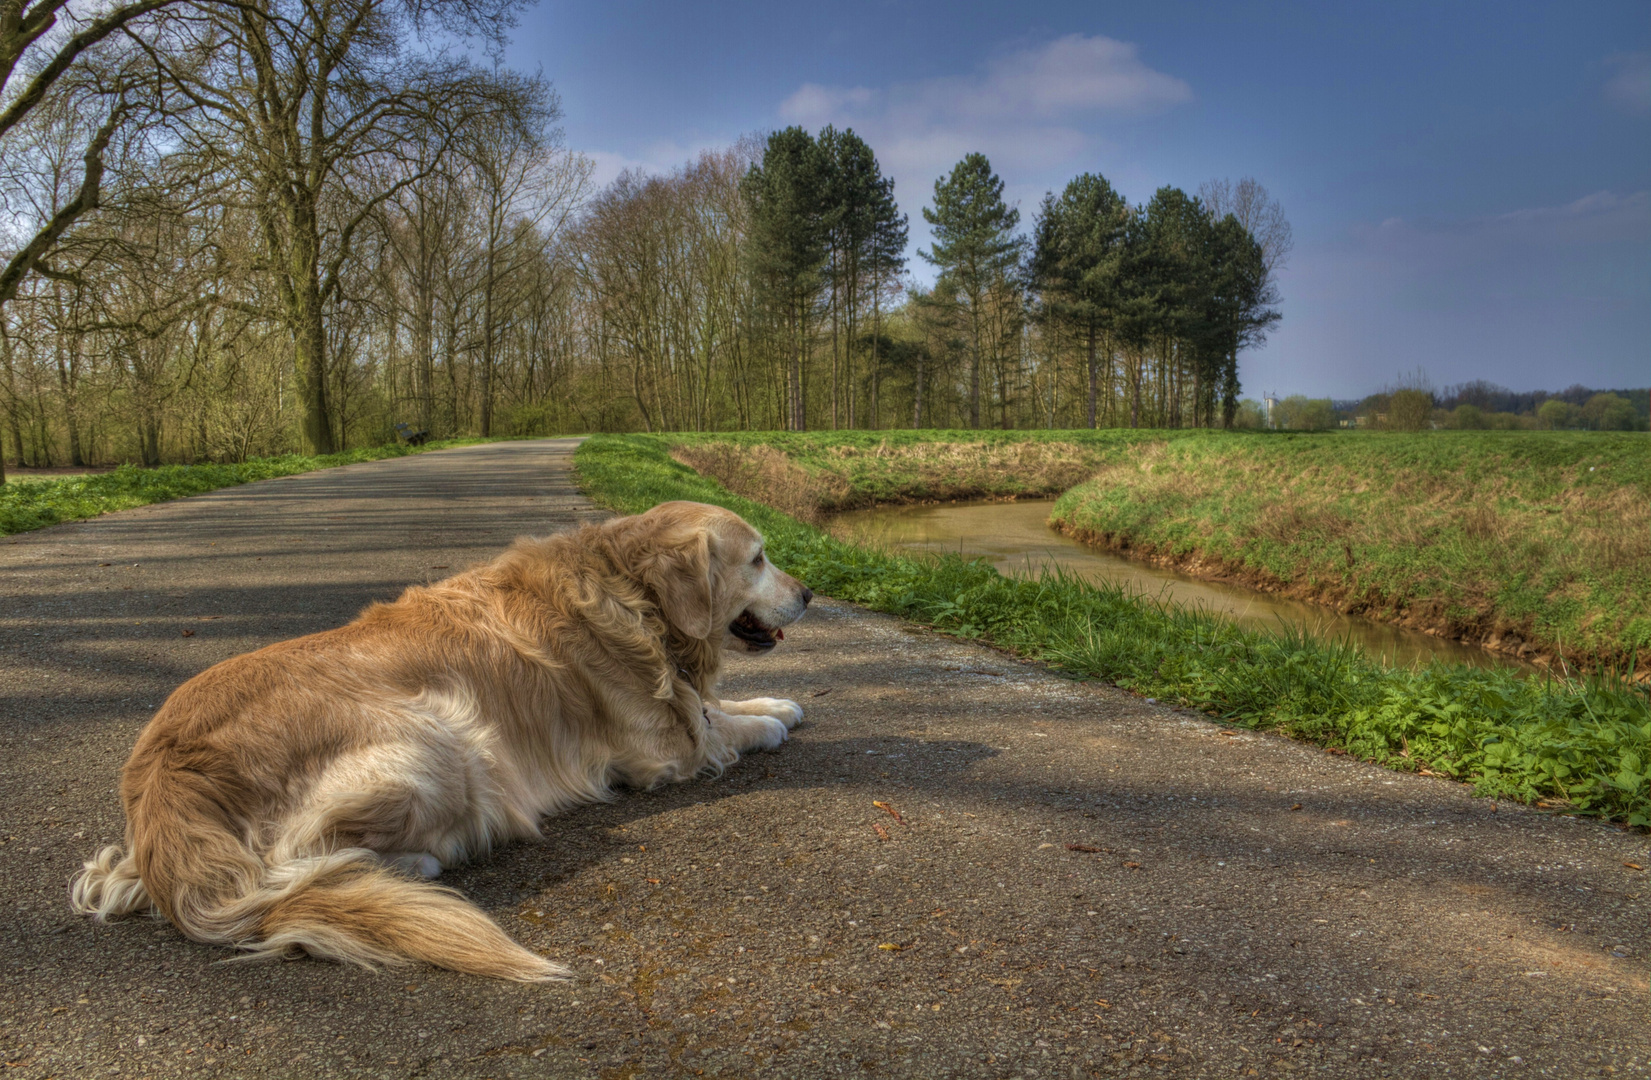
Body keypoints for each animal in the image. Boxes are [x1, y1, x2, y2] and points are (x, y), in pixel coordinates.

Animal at [69, 502, 812, 984]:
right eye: (758, 558)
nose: (808, 592)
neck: (627, 586)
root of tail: (161, 772)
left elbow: (715, 705)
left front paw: (775, 701)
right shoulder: (660, 746)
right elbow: (718, 728)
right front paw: (766, 721)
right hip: (445, 736)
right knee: (295, 864)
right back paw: (417, 863)